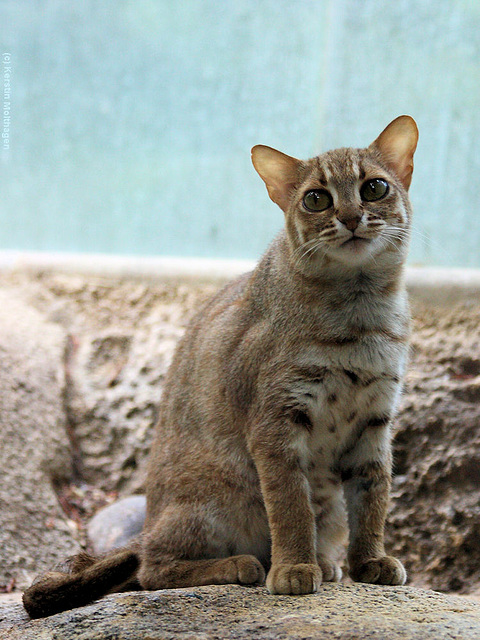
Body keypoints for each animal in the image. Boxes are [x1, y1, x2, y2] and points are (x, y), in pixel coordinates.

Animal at [24, 116, 418, 620]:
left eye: (374, 187)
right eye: (316, 198)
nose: (349, 219)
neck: (360, 308)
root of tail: (149, 525)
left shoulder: (374, 419)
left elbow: (373, 499)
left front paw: (369, 561)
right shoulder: (276, 421)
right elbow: (291, 504)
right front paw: (294, 566)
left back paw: (325, 561)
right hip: (217, 498)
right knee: (152, 569)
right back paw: (243, 564)